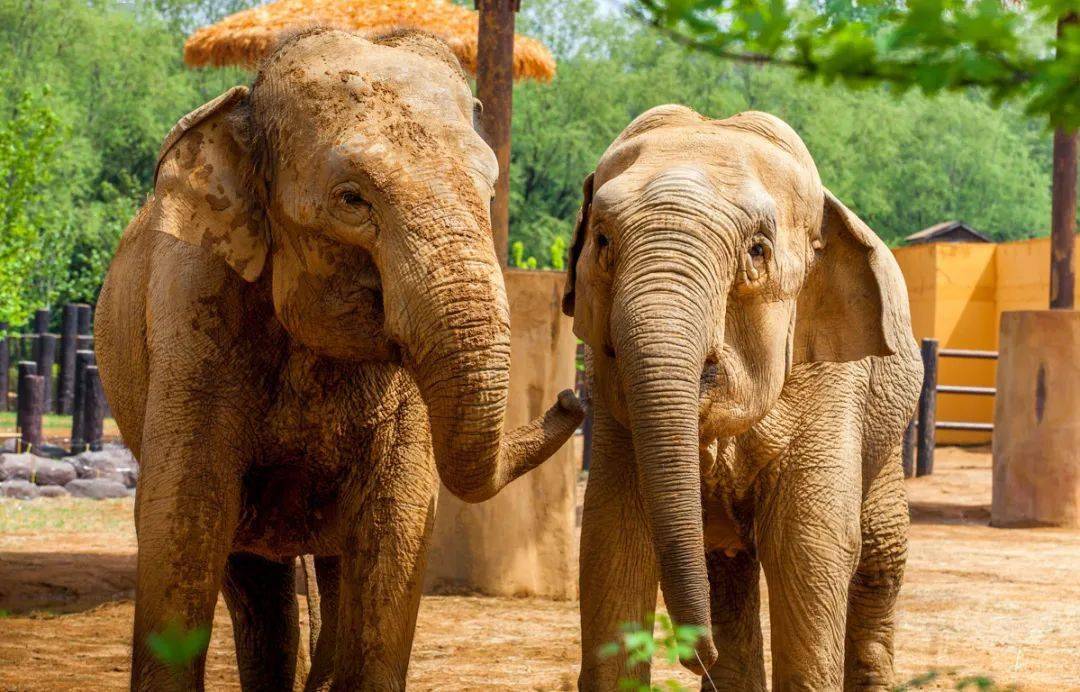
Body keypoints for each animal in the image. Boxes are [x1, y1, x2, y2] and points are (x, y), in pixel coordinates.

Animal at [94, 28, 583, 691]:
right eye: (353, 199)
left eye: (488, 191)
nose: (572, 396)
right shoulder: (192, 310)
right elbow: (184, 517)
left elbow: (397, 526)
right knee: (252, 576)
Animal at [564, 105, 922, 690]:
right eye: (602, 242)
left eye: (758, 250)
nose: (694, 655)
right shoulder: (614, 406)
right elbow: (612, 542)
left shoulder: (832, 380)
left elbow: (809, 545)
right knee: (726, 569)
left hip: (889, 427)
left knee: (878, 557)